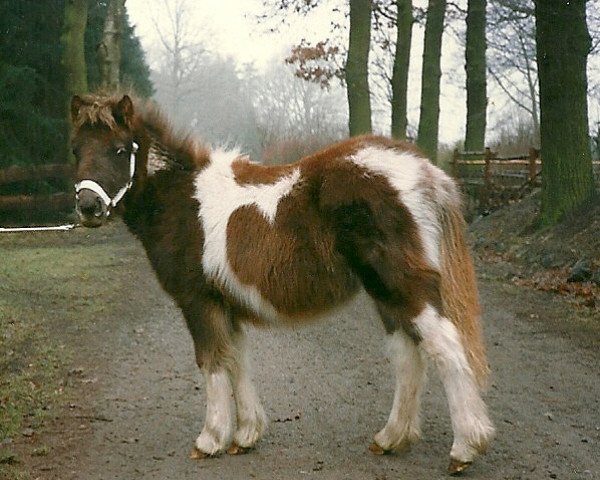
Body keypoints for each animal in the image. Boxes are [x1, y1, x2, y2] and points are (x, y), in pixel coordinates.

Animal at [70, 93, 492, 472]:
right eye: (76, 150)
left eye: (120, 150)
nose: (89, 207)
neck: (183, 202)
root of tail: (425, 172)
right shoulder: (227, 305)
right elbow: (237, 360)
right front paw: (246, 435)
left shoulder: (198, 302)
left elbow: (212, 363)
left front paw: (211, 439)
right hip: (385, 293)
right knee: (407, 356)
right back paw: (391, 438)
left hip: (404, 287)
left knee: (446, 350)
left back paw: (465, 448)